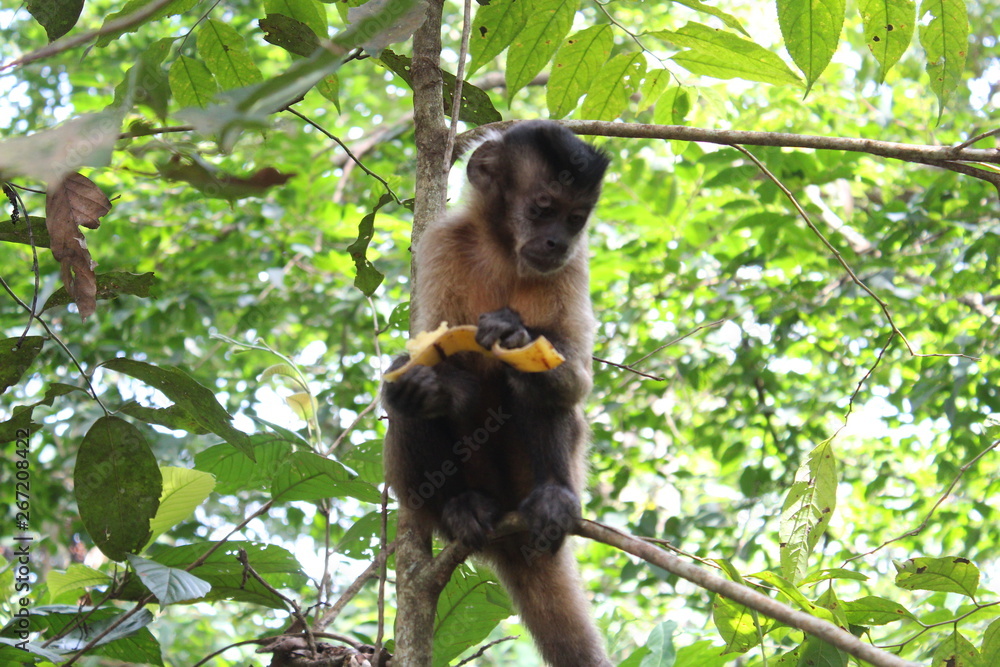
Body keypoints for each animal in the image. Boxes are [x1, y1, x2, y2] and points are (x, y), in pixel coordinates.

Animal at [383, 120, 611, 667]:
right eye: (543, 209)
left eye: (576, 219)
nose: (556, 241)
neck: (504, 250)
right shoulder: (441, 244)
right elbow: (425, 355)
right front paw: (437, 386)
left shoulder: (575, 265)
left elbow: (575, 376)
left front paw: (514, 335)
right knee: (404, 407)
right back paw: (460, 505)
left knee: (538, 393)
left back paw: (551, 500)